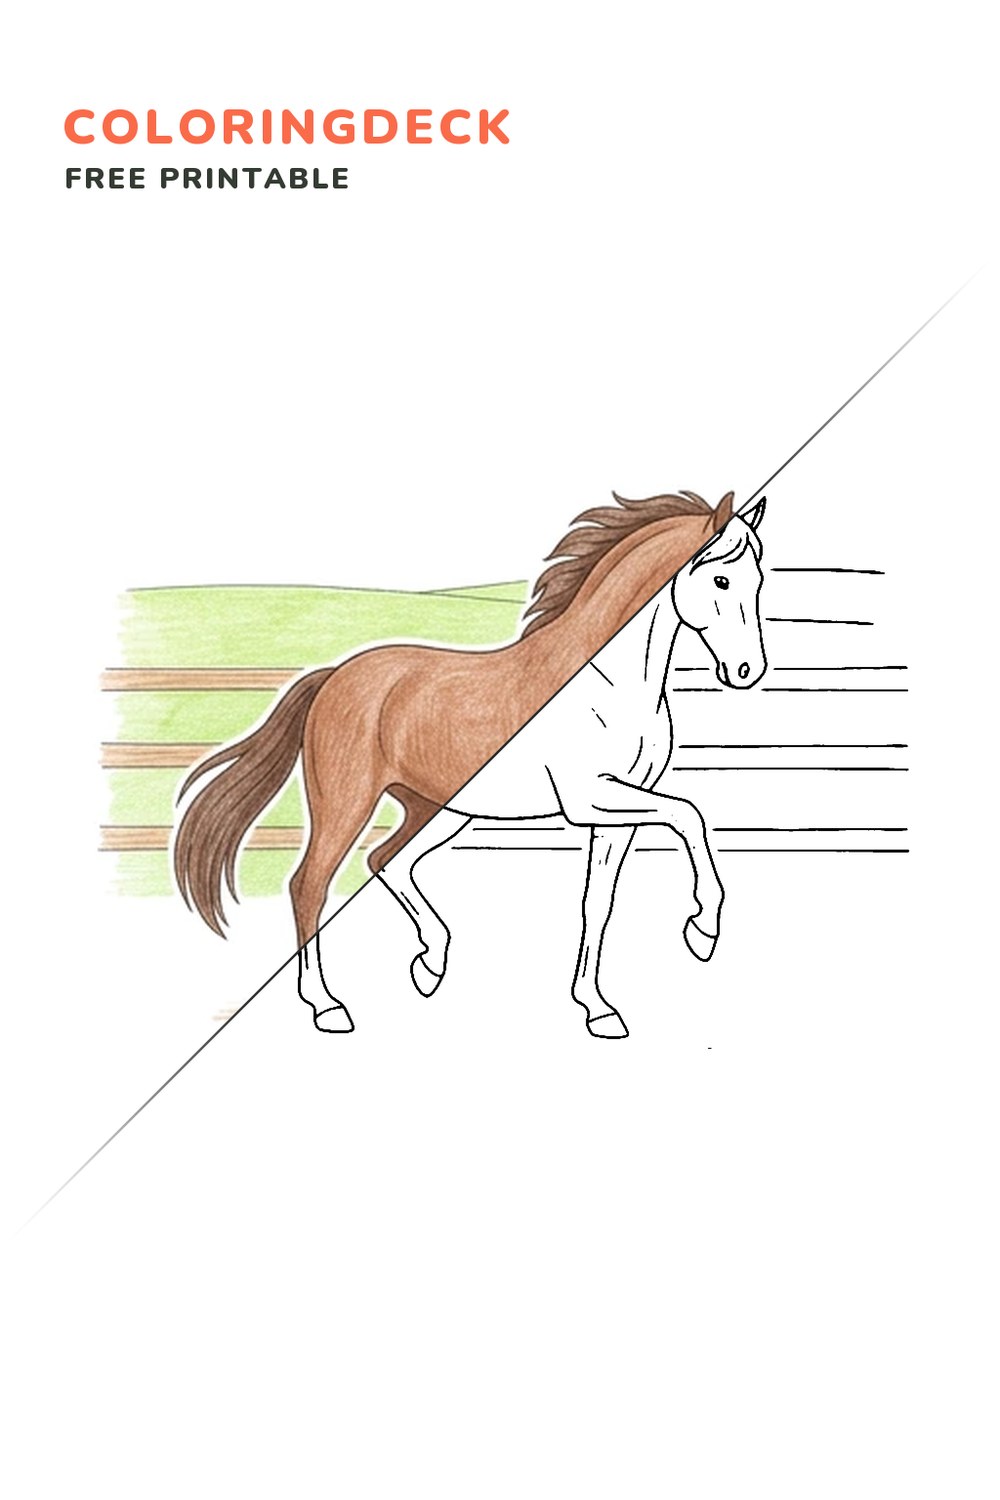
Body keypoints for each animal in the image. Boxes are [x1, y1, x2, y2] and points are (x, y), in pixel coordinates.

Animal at [173, 488, 767, 1038]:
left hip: (437, 809)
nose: (747, 671)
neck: (608, 683)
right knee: (310, 885)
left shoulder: (615, 813)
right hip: (348, 802)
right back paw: (329, 1007)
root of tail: (334, 675)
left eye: (758, 580)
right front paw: (702, 932)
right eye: (721, 581)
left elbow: (599, 904)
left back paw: (430, 965)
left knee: (386, 860)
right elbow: (690, 815)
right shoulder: (591, 797)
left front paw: (599, 1010)